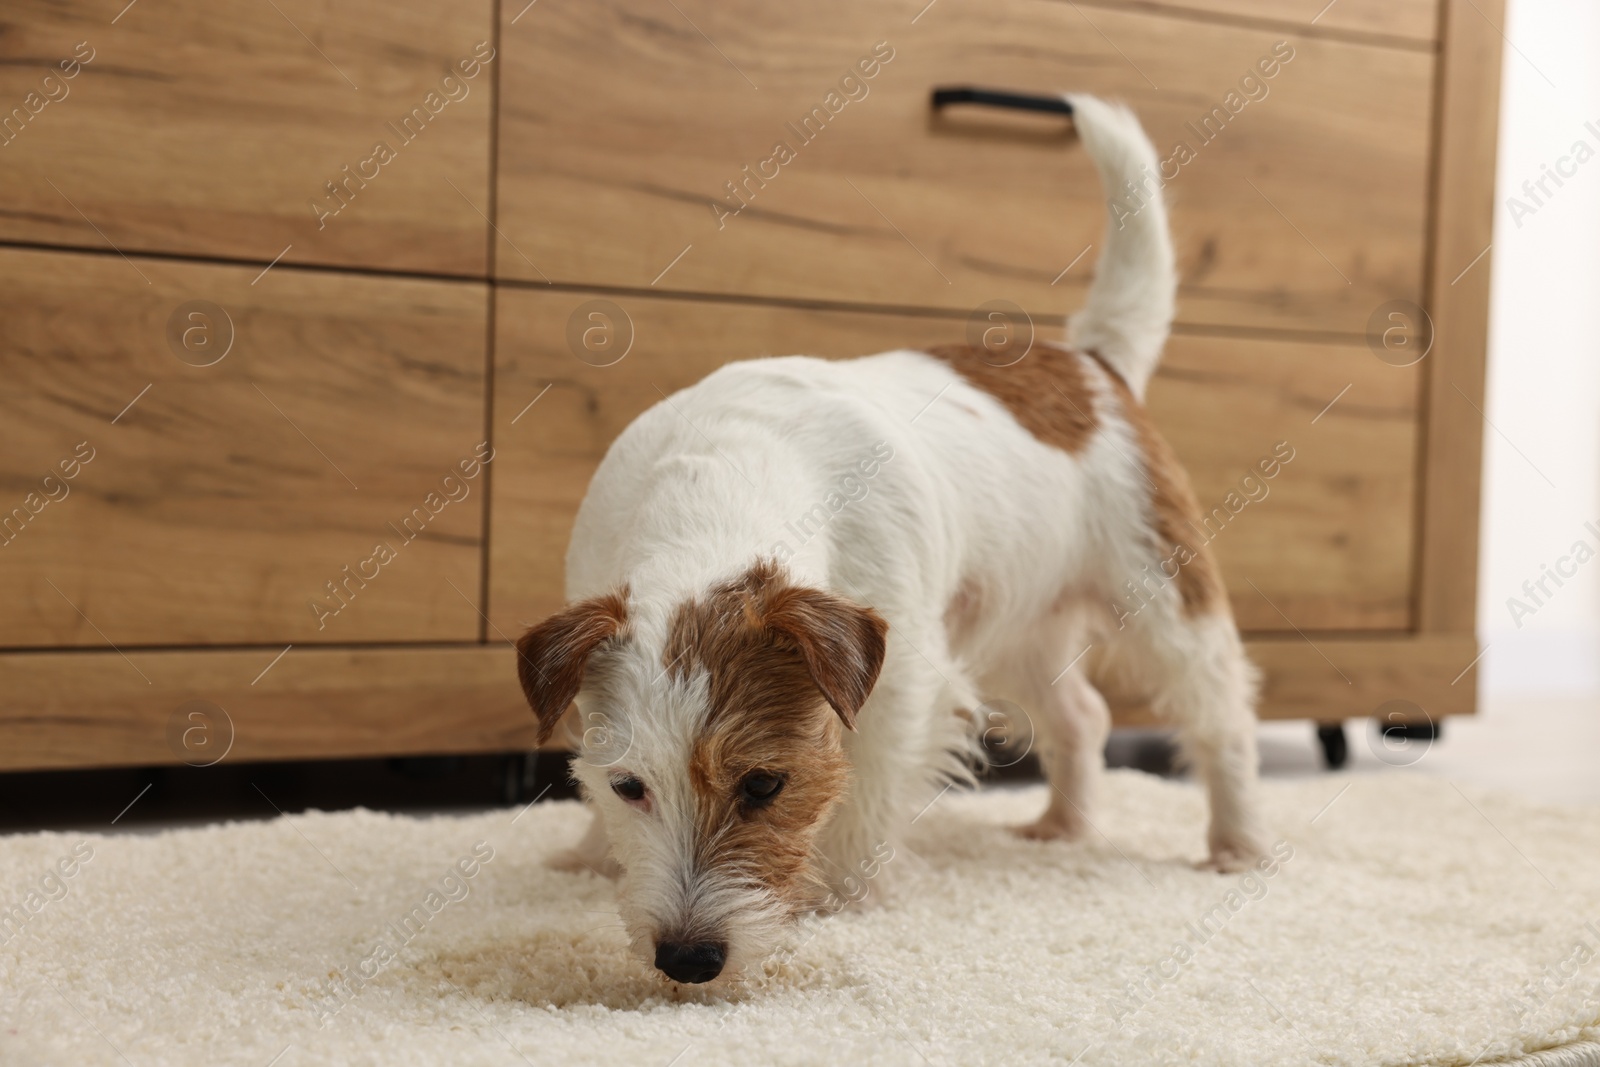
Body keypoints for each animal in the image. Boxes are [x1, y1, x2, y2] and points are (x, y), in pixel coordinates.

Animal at [518, 95, 1267, 991]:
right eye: (630, 785)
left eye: (765, 783)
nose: (689, 960)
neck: (719, 479)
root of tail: (1092, 360)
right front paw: (594, 851)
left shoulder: (902, 680)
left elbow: (870, 790)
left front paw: (845, 900)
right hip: (1016, 619)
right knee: (1082, 714)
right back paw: (1064, 824)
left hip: (1162, 596)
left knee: (1221, 709)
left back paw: (1236, 844)